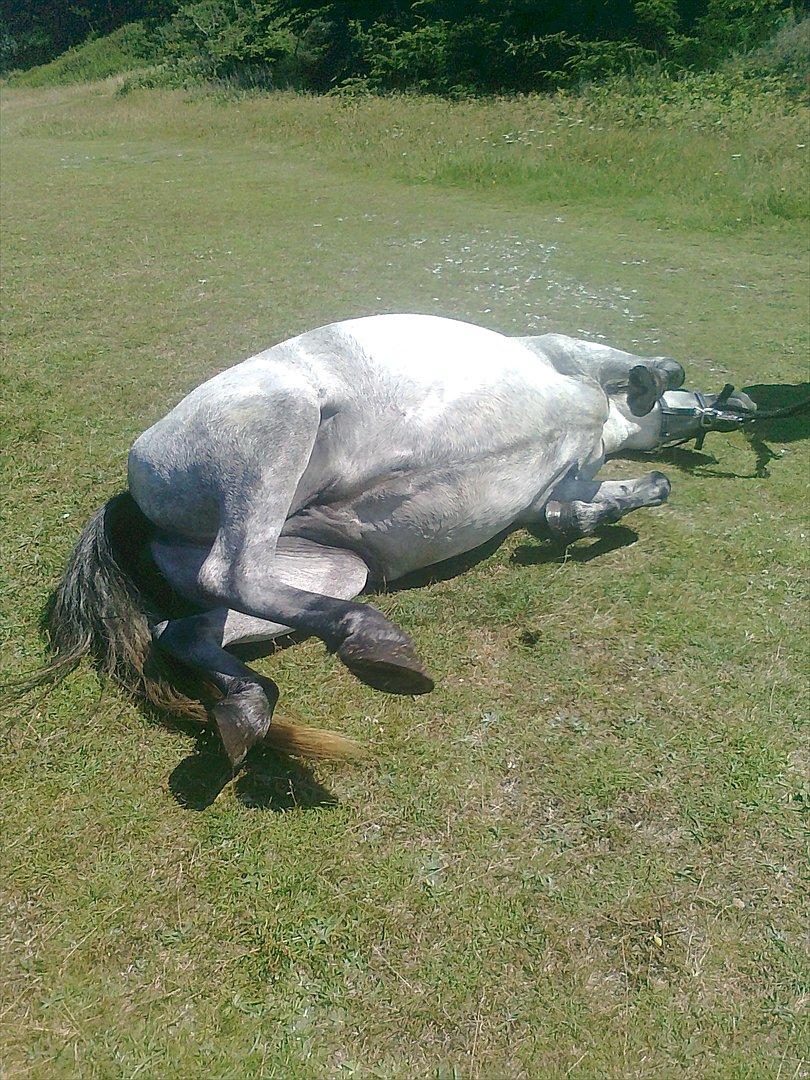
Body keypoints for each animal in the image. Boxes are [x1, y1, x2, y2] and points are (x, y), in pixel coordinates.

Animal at [20, 313, 768, 768]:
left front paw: (614, 505)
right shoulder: (559, 350)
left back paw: (253, 701)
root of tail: (131, 501)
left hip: (332, 566)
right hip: (284, 421)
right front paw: (651, 383)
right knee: (230, 572)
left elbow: (584, 509)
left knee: (190, 625)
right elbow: (652, 367)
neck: (595, 417)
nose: (737, 410)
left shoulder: (562, 487)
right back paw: (371, 642)